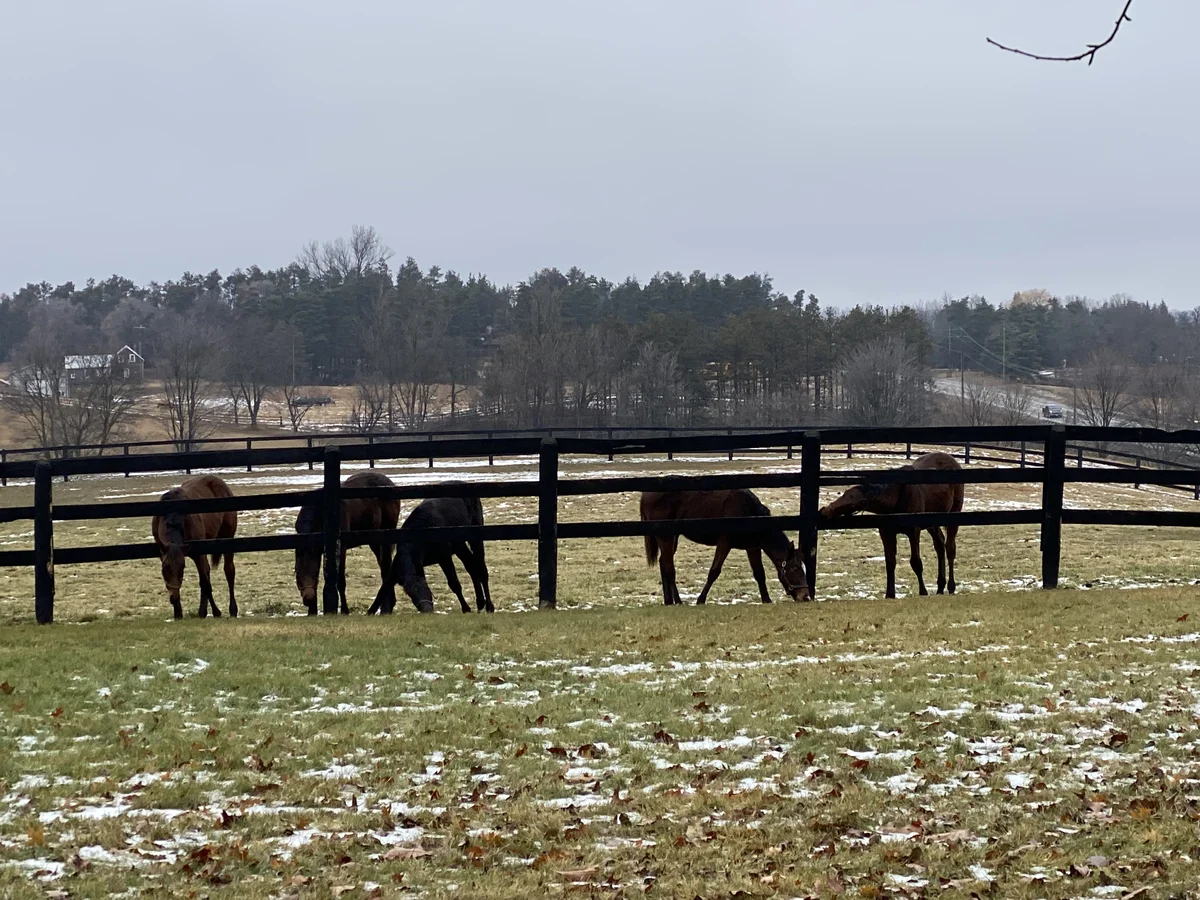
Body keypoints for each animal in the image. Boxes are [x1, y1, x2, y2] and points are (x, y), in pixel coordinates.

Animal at [151, 474, 238, 619]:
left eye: (182, 568)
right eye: (165, 568)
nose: (173, 598)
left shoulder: (198, 554)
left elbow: (205, 583)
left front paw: (210, 612)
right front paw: (178, 613)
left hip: (228, 538)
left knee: (229, 571)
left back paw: (232, 610)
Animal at [294, 471, 401, 615]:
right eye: (298, 574)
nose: (308, 598)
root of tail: (391, 484)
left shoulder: (341, 547)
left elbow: (340, 581)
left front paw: (345, 610)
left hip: (385, 537)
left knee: (385, 568)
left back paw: (379, 608)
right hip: (374, 541)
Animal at [640, 489, 810, 606]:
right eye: (795, 568)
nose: (805, 596)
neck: (749, 513)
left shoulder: (752, 547)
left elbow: (759, 574)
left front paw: (766, 599)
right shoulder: (724, 543)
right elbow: (714, 572)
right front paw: (701, 599)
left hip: (671, 539)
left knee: (664, 563)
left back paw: (669, 600)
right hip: (666, 538)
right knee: (669, 567)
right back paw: (678, 601)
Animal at [819, 451, 963, 599]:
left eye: (852, 504)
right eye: (844, 495)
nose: (823, 511)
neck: (898, 498)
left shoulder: (914, 531)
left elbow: (916, 562)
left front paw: (923, 592)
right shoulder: (886, 532)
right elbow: (890, 562)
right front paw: (890, 594)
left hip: (954, 514)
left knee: (950, 548)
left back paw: (951, 587)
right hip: (933, 522)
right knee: (940, 544)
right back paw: (940, 587)